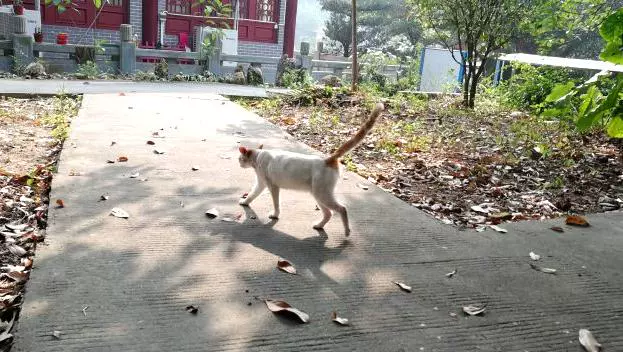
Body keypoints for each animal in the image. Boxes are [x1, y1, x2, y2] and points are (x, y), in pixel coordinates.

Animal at [239, 102, 386, 236]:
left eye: (240, 158)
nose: (239, 163)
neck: (258, 156)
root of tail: (328, 159)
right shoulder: (261, 183)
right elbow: (253, 194)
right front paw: (246, 201)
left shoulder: (273, 186)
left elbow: (276, 203)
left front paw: (275, 214)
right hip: (318, 195)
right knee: (329, 213)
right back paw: (319, 225)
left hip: (322, 194)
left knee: (342, 208)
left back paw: (346, 231)